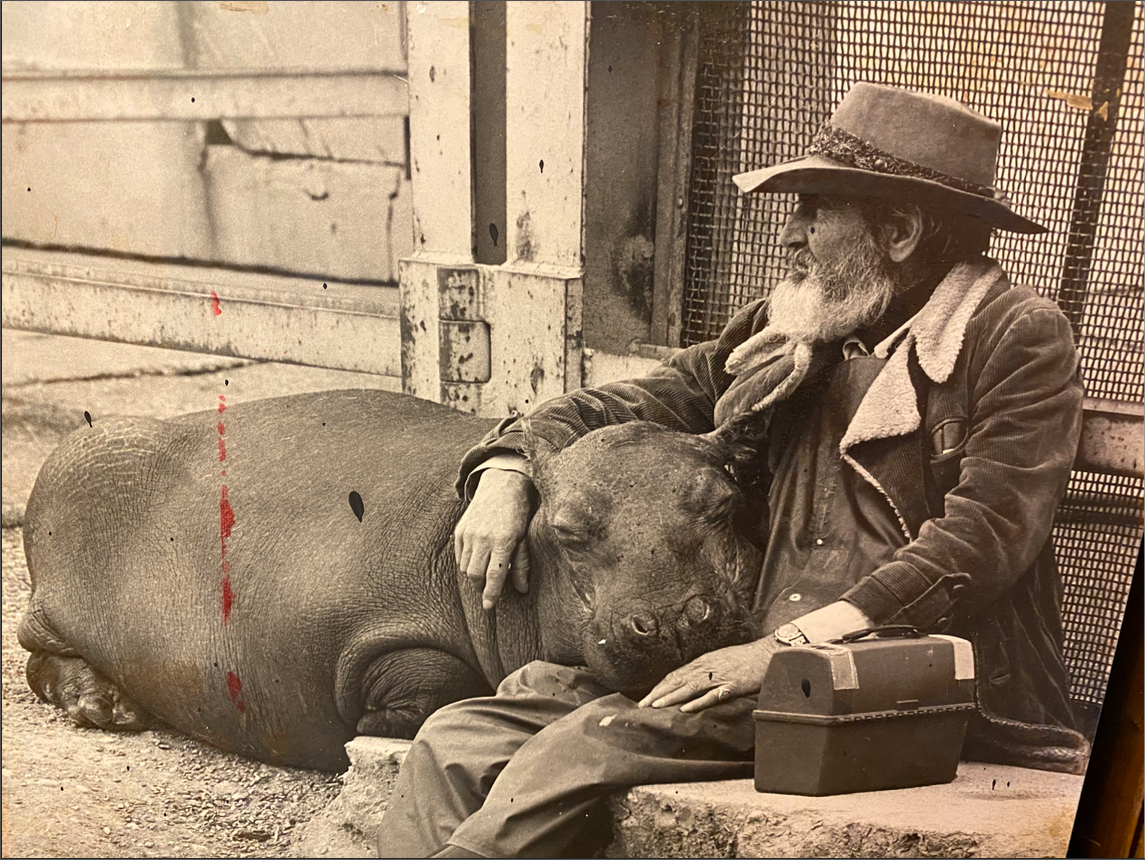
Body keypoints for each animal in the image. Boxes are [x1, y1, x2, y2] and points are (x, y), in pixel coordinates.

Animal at [15, 387, 760, 769]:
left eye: (724, 501)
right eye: (569, 531)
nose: (673, 618)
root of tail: (67, 442)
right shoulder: (373, 632)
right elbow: (433, 678)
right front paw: (365, 730)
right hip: (56, 599)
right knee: (34, 655)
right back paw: (106, 710)